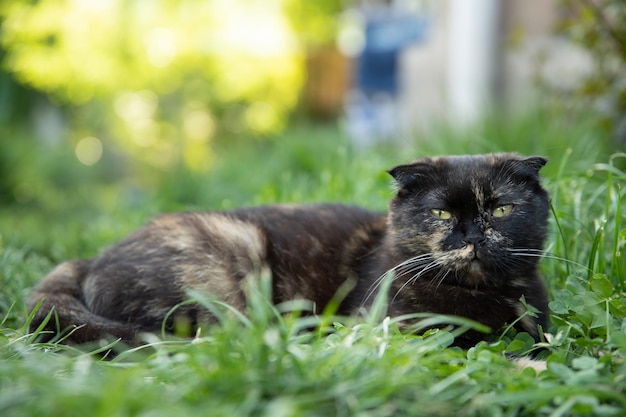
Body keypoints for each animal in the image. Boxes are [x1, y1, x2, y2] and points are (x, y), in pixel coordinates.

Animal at [26, 153, 548, 348]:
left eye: (501, 209)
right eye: (440, 213)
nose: (471, 236)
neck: (473, 296)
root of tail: (89, 260)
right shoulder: (381, 328)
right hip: (233, 263)